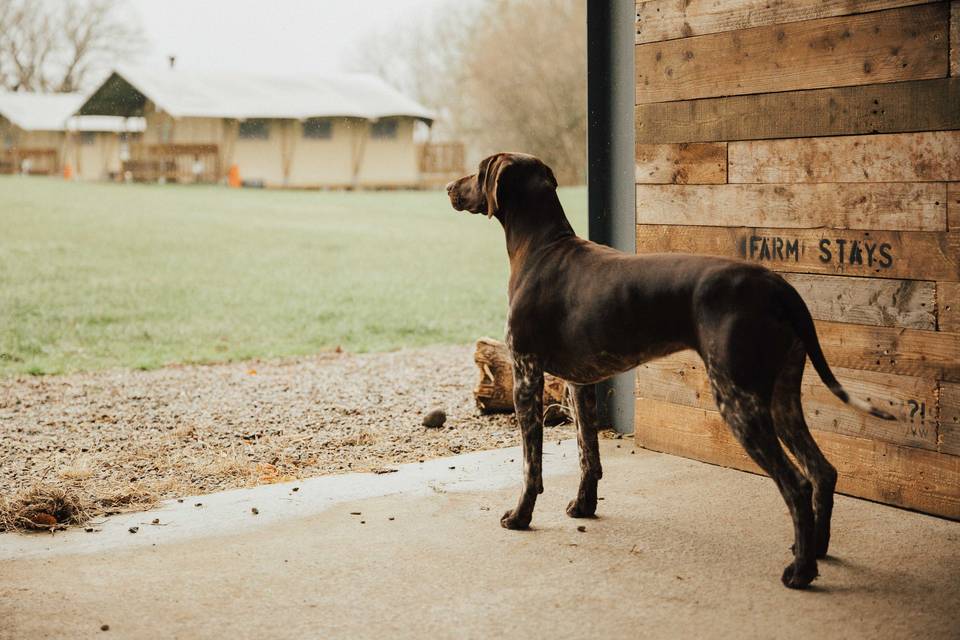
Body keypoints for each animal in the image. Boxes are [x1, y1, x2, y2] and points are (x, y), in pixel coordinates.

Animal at [446, 151, 896, 592]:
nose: (450, 186)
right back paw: (815, 551)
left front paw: (520, 517)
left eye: (480, 170)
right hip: (781, 398)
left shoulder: (526, 376)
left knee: (797, 484)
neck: (542, 247)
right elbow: (588, 456)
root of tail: (777, 286)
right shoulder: (581, 384)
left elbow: (531, 467)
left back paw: (800, 571)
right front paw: (584, 506)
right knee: (822, 471)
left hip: (740, 402)